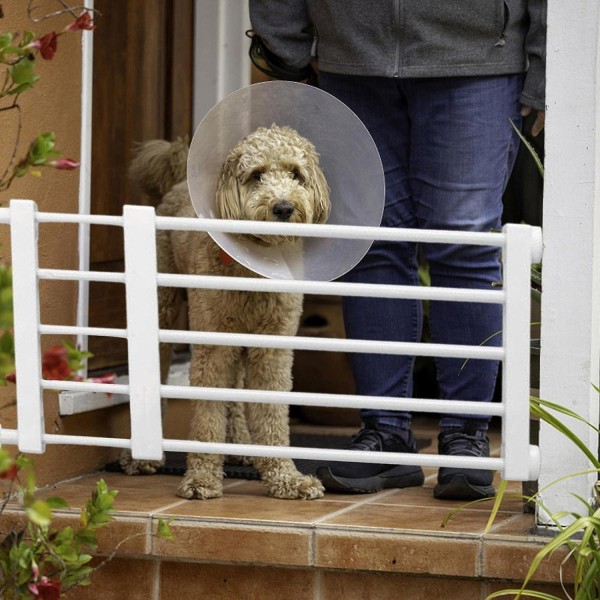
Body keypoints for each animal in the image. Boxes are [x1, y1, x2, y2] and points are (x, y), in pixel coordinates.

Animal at [128, 124, 330, 500]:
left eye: (296, 174)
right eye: (256, 175)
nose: (283, 207)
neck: (252, 270)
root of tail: (179, 181)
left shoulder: (273, 347)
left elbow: (270, 412)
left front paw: (286, 478)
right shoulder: (212, 346)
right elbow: (207, 414)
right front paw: (201, 479)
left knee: (235, 393)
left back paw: (239, 445)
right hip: (165, 308)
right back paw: (143, 457)